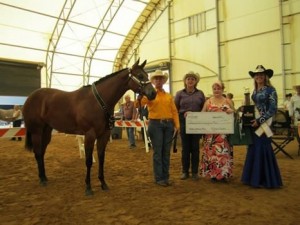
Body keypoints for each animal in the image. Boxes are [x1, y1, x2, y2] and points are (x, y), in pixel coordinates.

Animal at [22, 59, 156, 195]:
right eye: (140, 76)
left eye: (147, 75)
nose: (153, 93)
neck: (98, 102)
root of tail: (30, 98)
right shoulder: (90, 135)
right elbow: (88, 161)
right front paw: (88, 187)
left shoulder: (104, 135)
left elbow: (101, 158)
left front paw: (103, 183)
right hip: (37, 132)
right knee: (38, 153)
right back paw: (42, 179)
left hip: (46, 131)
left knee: (42, 152)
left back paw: (44, 177)